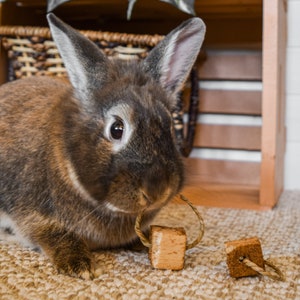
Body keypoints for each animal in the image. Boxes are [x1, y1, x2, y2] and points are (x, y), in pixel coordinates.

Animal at [0, 12, 206, 278]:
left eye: (170, 125)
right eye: (116, 129)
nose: (157, 191)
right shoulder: (32, 213)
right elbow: (53, 234)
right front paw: (79, 266)